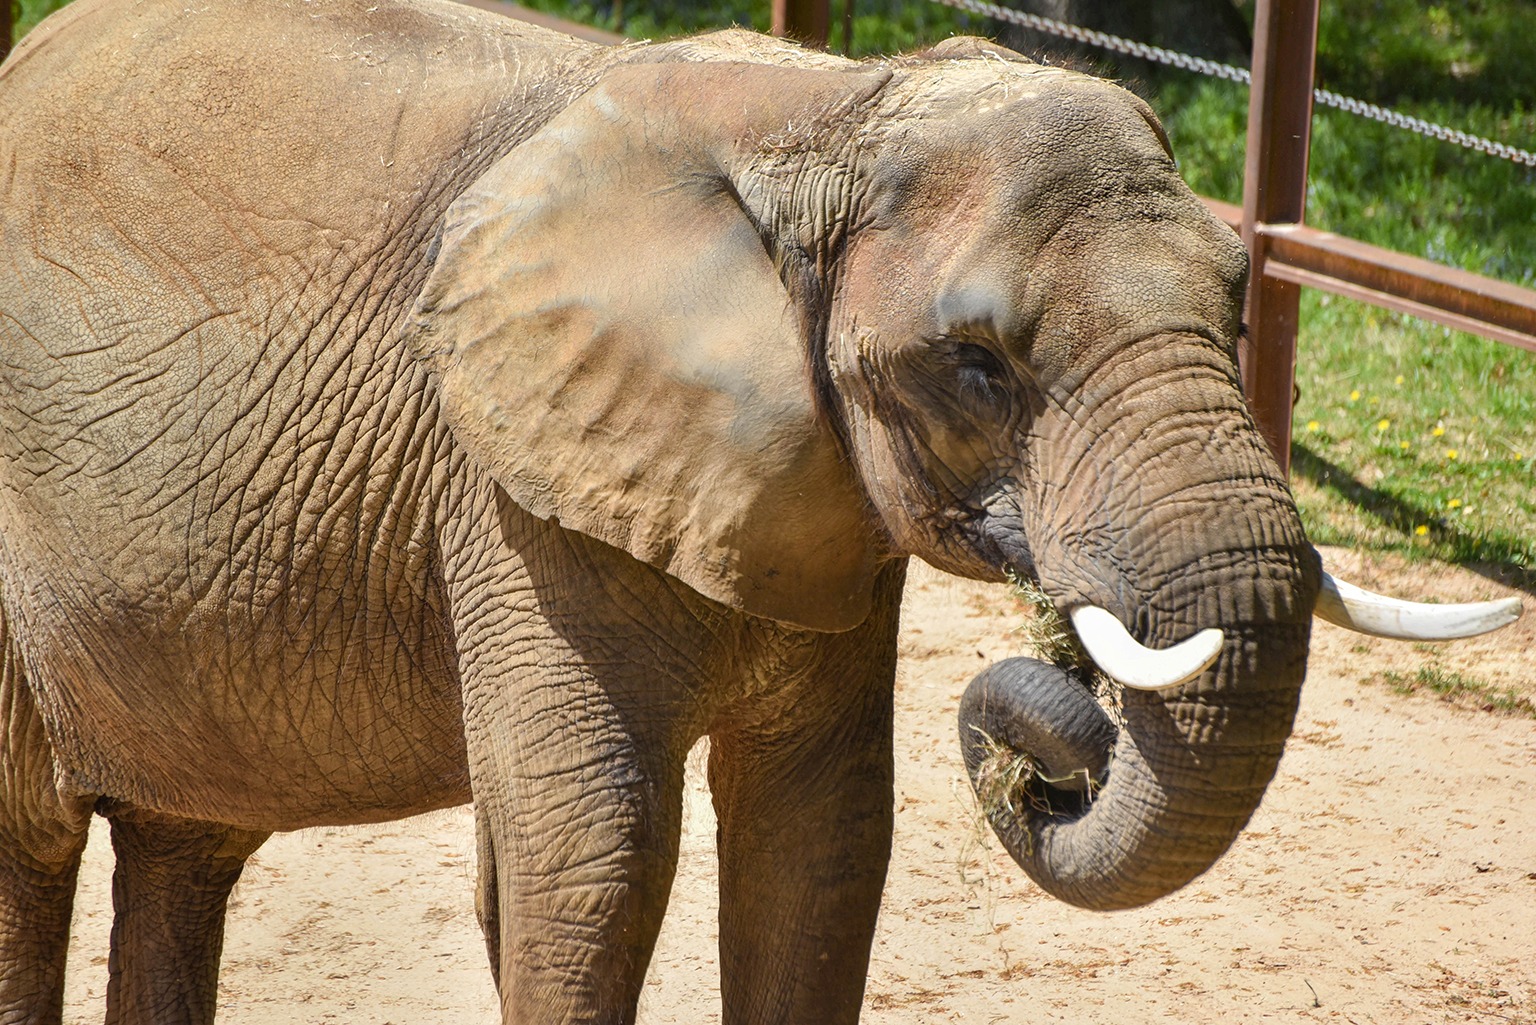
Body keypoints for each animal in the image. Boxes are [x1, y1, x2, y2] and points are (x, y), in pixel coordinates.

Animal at [0, 0, 1517, 1020]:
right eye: (978, 360)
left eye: (1242, 305)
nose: (1052, 739)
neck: (824, 114)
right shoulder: (507, 482)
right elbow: (593, 854)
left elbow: (824, 838)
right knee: (30, 847)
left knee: (182, 843)